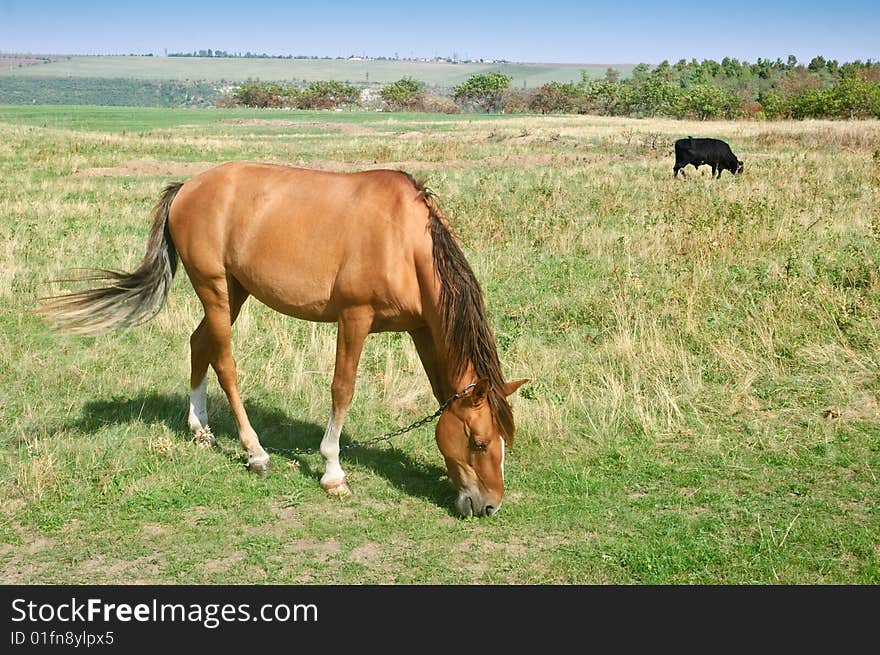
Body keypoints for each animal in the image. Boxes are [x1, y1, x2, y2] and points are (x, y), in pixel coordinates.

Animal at [39, 163, 524, 516]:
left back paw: (200, 430)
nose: (489, 506)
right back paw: (255, 452)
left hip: (234, 291)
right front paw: (332, 471)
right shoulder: (355, 318)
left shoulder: (422, 329)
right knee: (223, 361)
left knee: (198, 344)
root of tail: (189, 186)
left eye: (504, 442)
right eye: (479, 441)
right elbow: (342, 390)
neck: (403, 242)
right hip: (215, 289)